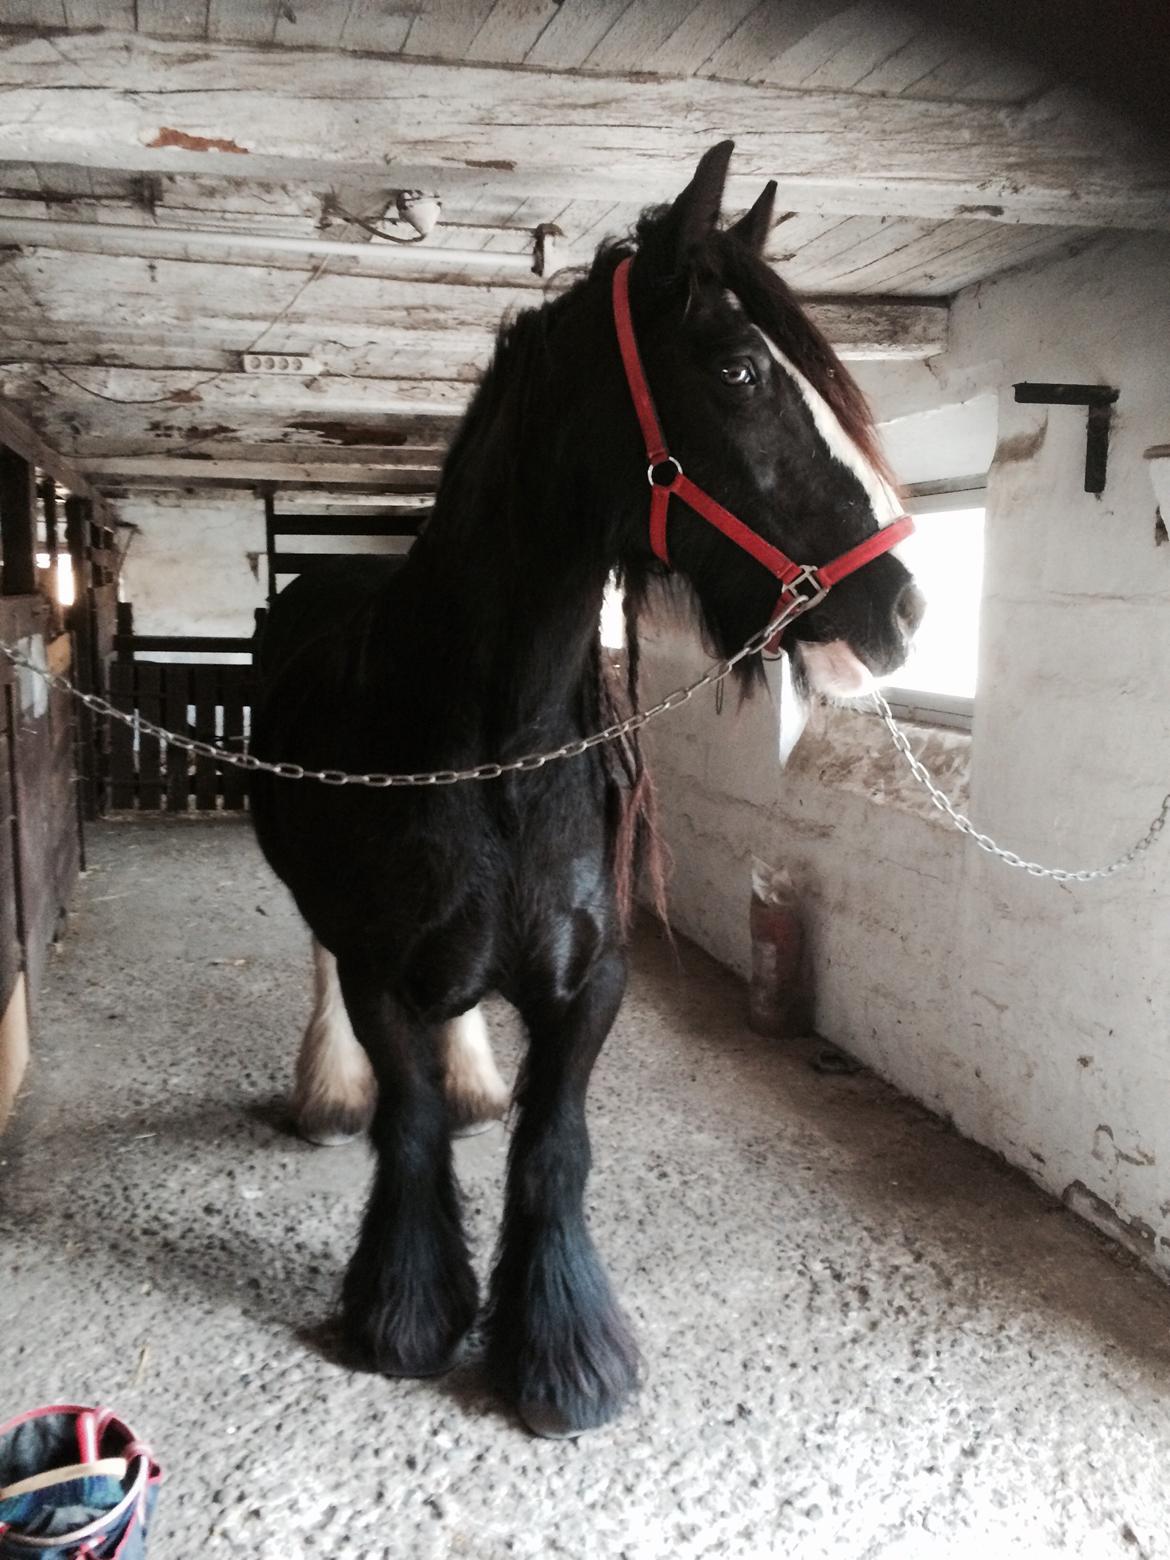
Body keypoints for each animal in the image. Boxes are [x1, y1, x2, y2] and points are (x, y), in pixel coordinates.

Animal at [249, 143, 923, 1435]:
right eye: (736, 368)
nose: (904, 608)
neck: (498, 744)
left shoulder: (593, 975)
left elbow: (552, 1146)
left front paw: (563, 1353)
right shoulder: (378, 968)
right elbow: (409, 1125)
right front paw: (404, 1313)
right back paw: (329, 1093)